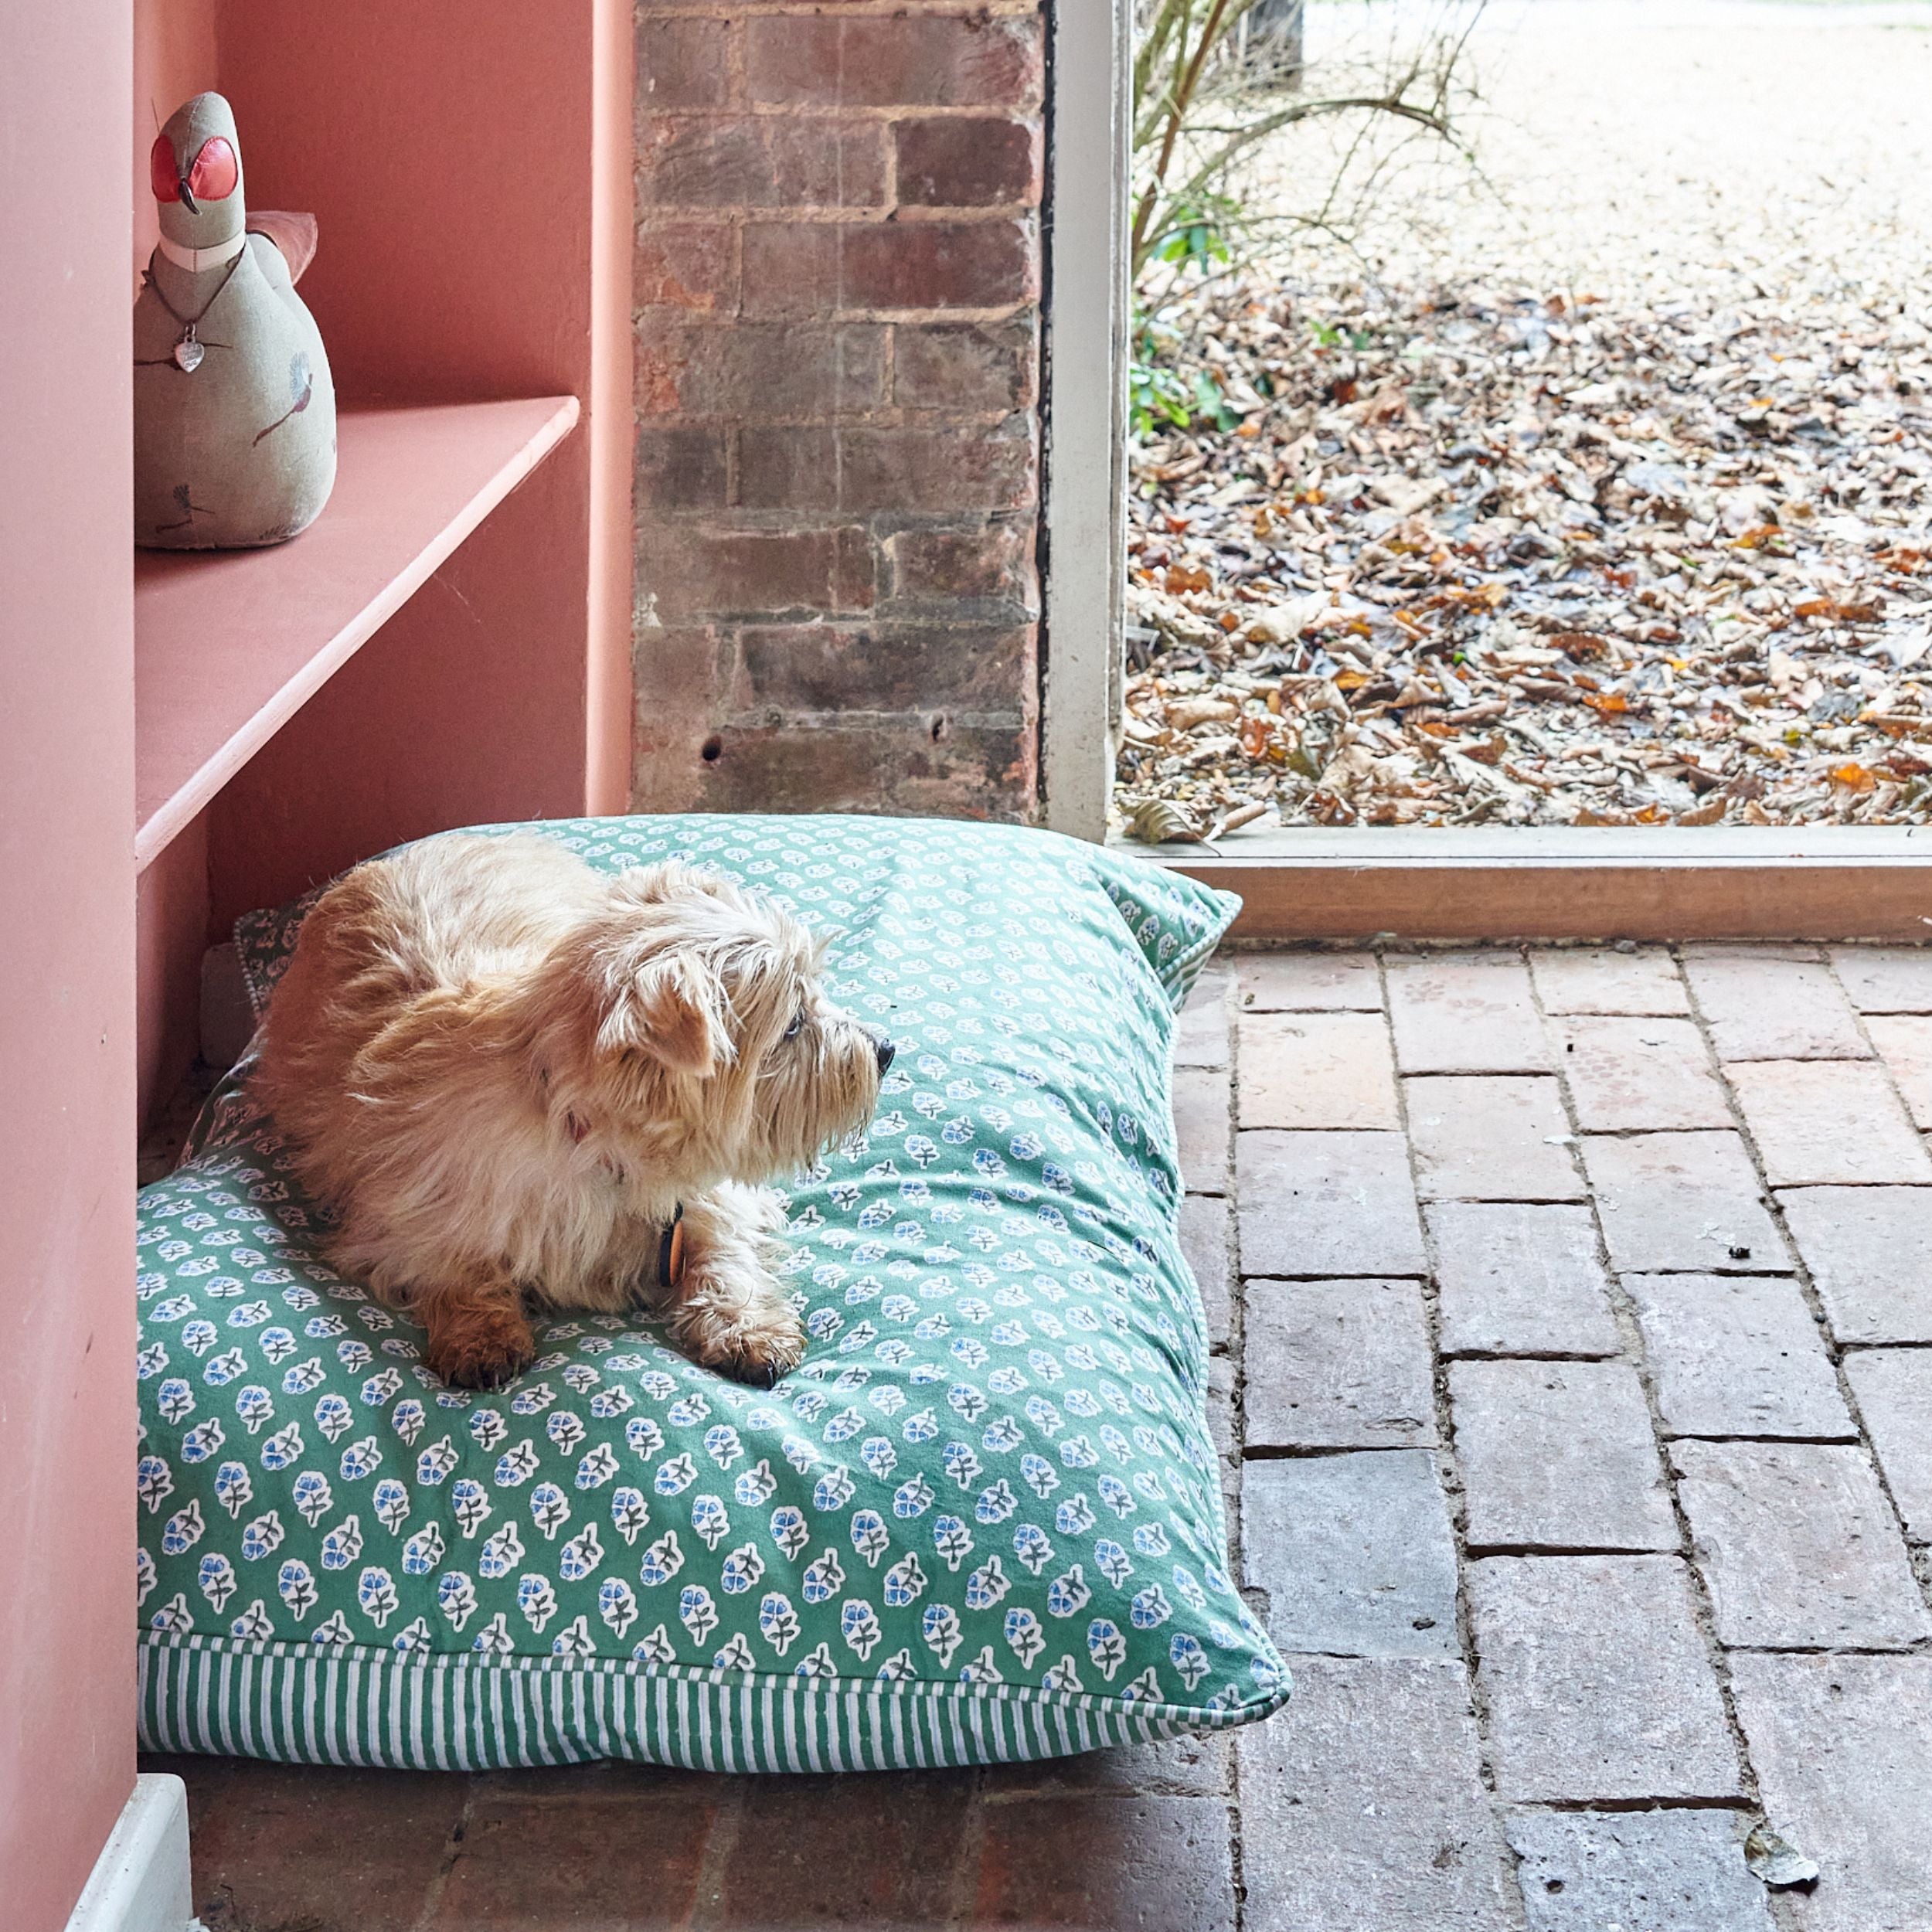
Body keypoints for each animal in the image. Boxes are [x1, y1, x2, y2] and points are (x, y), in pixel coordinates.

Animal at [253, 831, 893, 1391]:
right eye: (793, 1024)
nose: (886, 1049)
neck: (595, 1146)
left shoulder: (716, 1196)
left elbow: (725, 1251)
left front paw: (745, 1327)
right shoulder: (405, 1211)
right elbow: (452, 1263)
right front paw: (482, 1334)